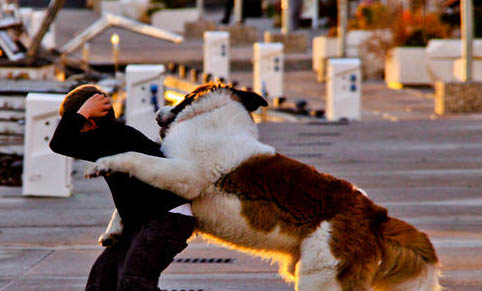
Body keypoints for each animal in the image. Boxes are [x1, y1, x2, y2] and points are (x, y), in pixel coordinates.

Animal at [86, 83, 440, 290]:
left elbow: (135, 158)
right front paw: (113, 230)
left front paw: (103, 163)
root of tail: (375, 215)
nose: (159, 111)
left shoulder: (185, 173)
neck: (214, 116)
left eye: (183, 98)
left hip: (320, 277)